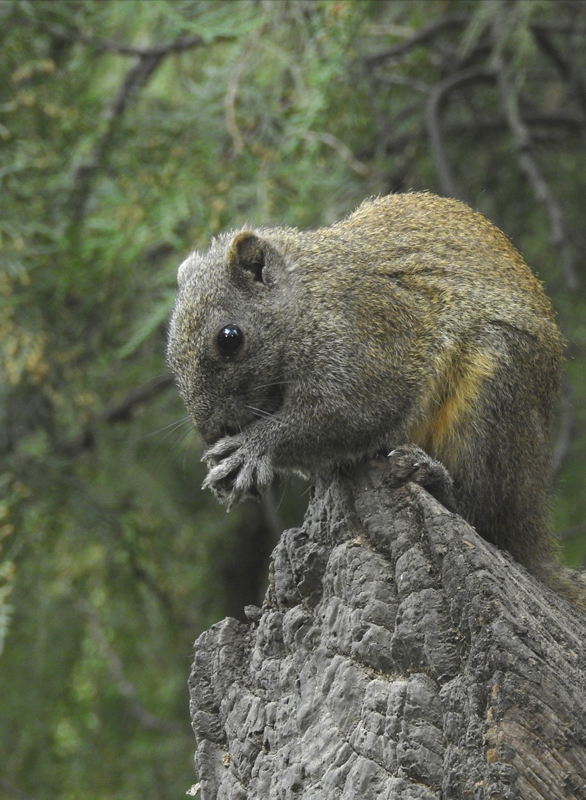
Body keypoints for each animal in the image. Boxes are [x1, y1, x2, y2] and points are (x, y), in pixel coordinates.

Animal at [165, 192, 572, 592]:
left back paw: (436, 480)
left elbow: (348, 415)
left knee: (484, 515)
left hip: (493, 387)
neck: (307, 300)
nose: (211, 430)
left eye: (229, 338)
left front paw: (249, 450)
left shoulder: (372, 339)